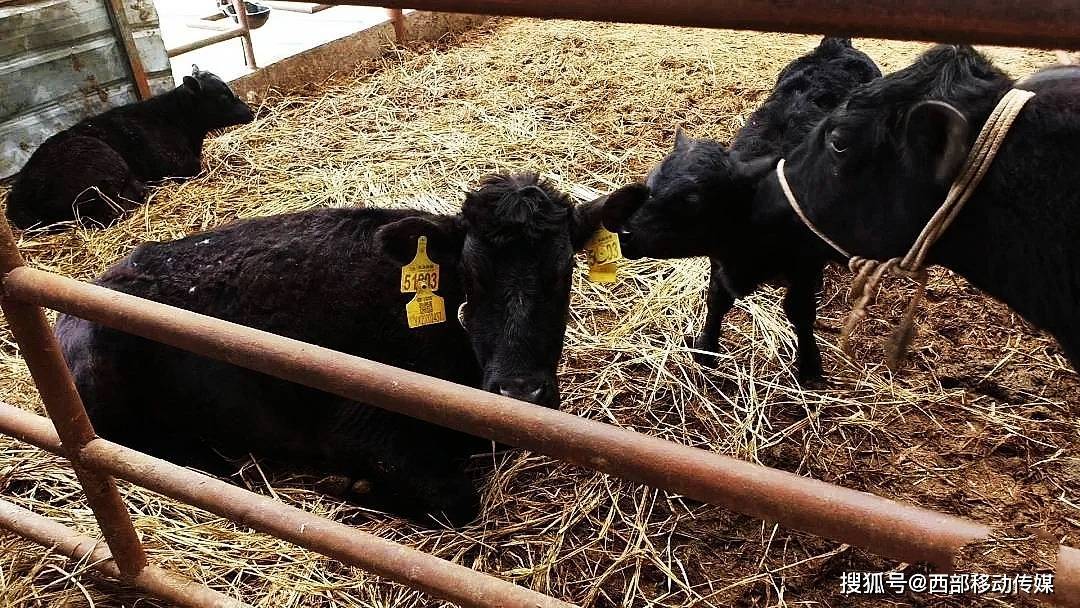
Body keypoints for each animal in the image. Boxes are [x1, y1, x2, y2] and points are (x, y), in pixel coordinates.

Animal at [604, 38, 881, 380]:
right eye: (650, 183)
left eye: (693, 200)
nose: (625, 233)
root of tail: (836, 45)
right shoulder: (719, 258)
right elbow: (717, 298)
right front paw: (706, 348)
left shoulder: (804, 263)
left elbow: (799, 311)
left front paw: (809, 366)